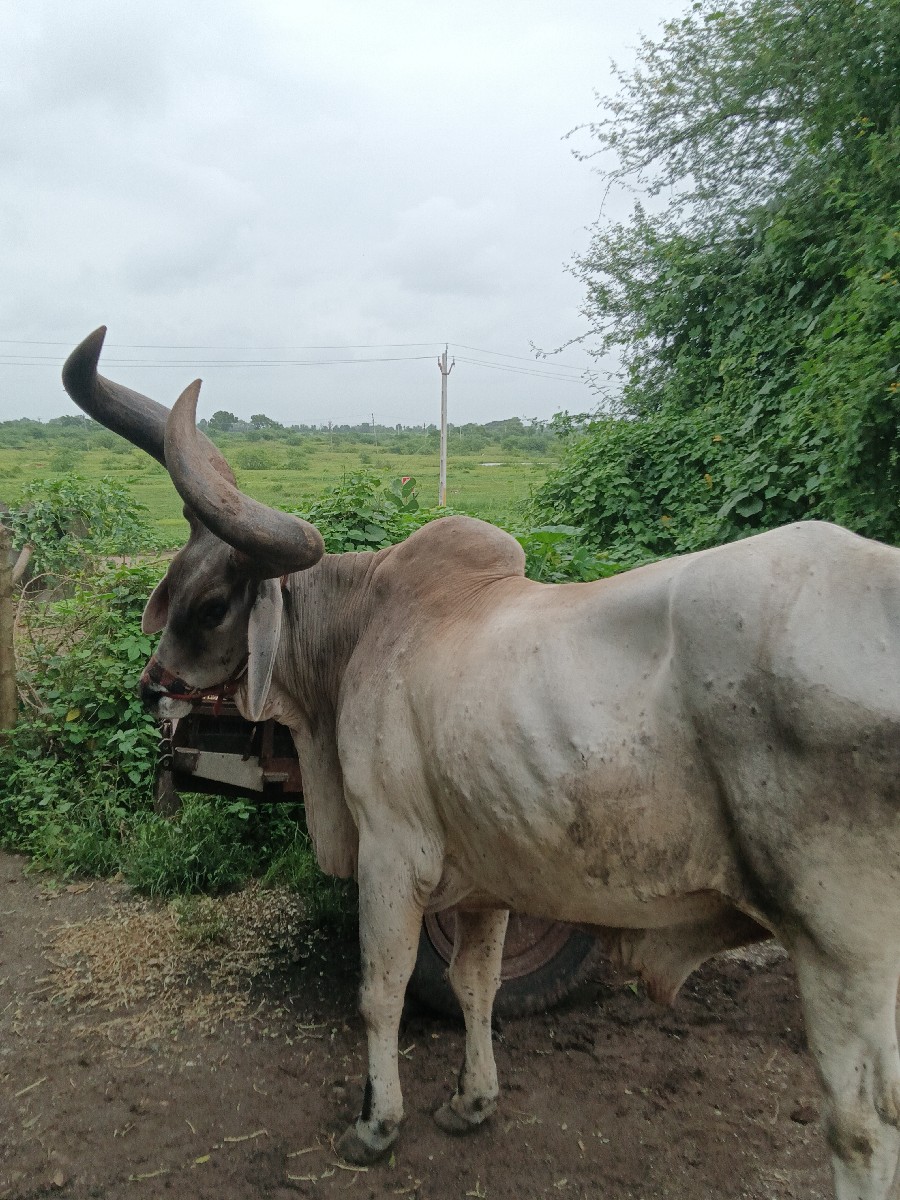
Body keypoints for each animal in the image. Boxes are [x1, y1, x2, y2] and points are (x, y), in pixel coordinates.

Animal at [63, 327, 900, 1200]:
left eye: (214, 605)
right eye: (174, 584)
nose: (152, 689)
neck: (362, 629)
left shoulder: (392, 851)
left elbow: (381, 991)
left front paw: (376, 1123)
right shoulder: (491, 869)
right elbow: (477, 984)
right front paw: (472, 1100)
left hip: (843, 945)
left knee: (861, 1122)